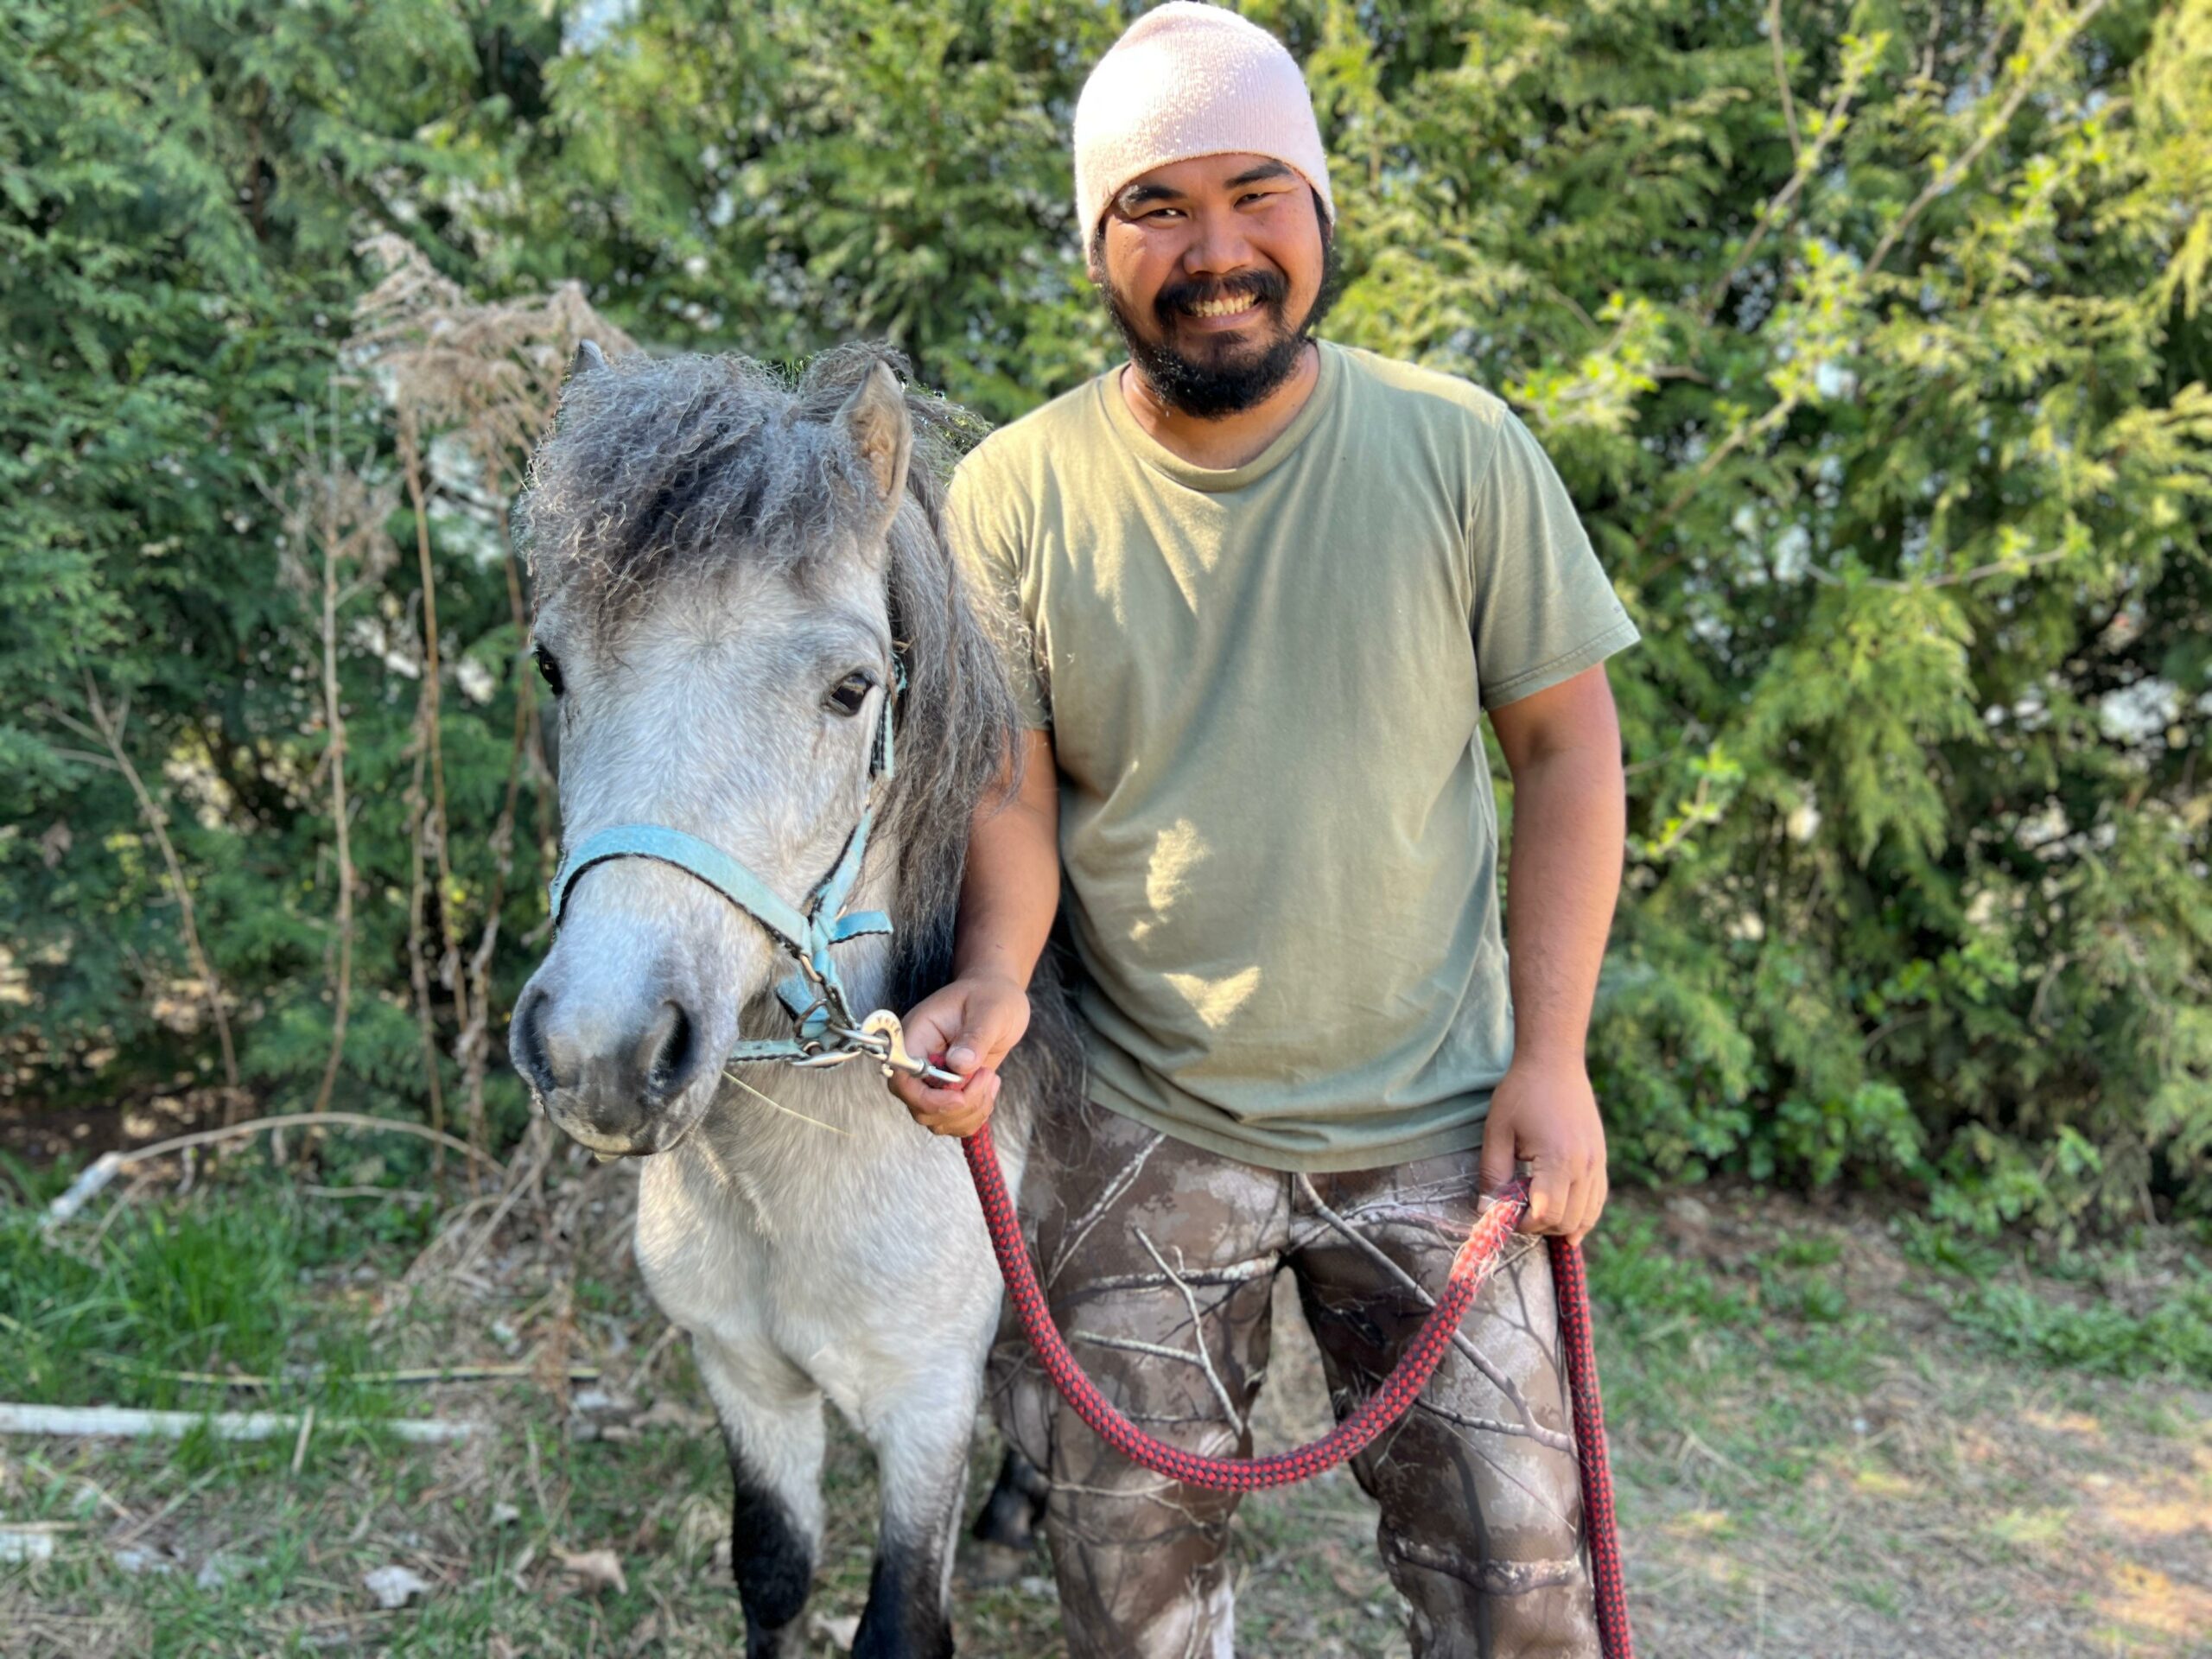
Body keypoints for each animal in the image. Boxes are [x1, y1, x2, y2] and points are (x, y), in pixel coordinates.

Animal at [507, 342, 1076, 1658]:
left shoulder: (925, 1408)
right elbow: (770, 1573)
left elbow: (902, 1621)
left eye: (853, 688)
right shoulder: (745, 1380)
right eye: (553, 666)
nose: (602, 1051)